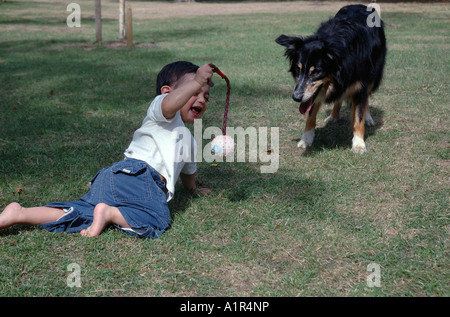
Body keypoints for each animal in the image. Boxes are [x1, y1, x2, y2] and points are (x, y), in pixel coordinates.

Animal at [274, 4, 386, 153]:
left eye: (316, 72)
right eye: (298, 69)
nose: (296, 97)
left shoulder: (360, 83)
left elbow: (359, 116)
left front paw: (358, 144)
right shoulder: (313, 91)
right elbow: (310, 114)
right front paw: (306, 139)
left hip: (374, 74)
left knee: (366, 97)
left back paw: (368, 117)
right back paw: (333, 116)